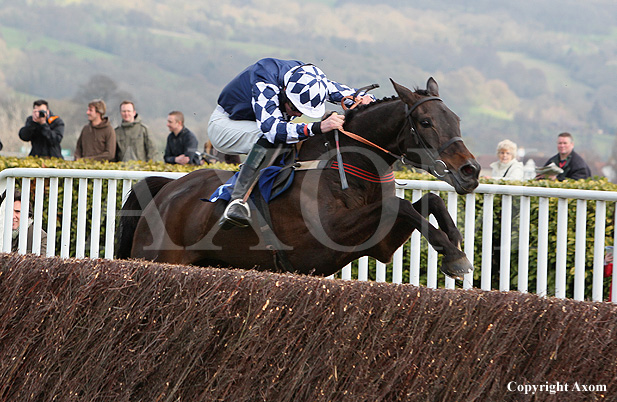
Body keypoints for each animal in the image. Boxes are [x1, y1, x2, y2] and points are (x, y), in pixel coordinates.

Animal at [116, 78, 482, 280]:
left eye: (455, 119)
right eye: (425, 122)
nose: (471, 171)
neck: (345, 166)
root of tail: (168, 189)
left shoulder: (380, 243)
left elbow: (427, 201)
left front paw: (455, 247)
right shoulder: (322, 239)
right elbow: (401, 206)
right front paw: (454, 256)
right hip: (156, 257)